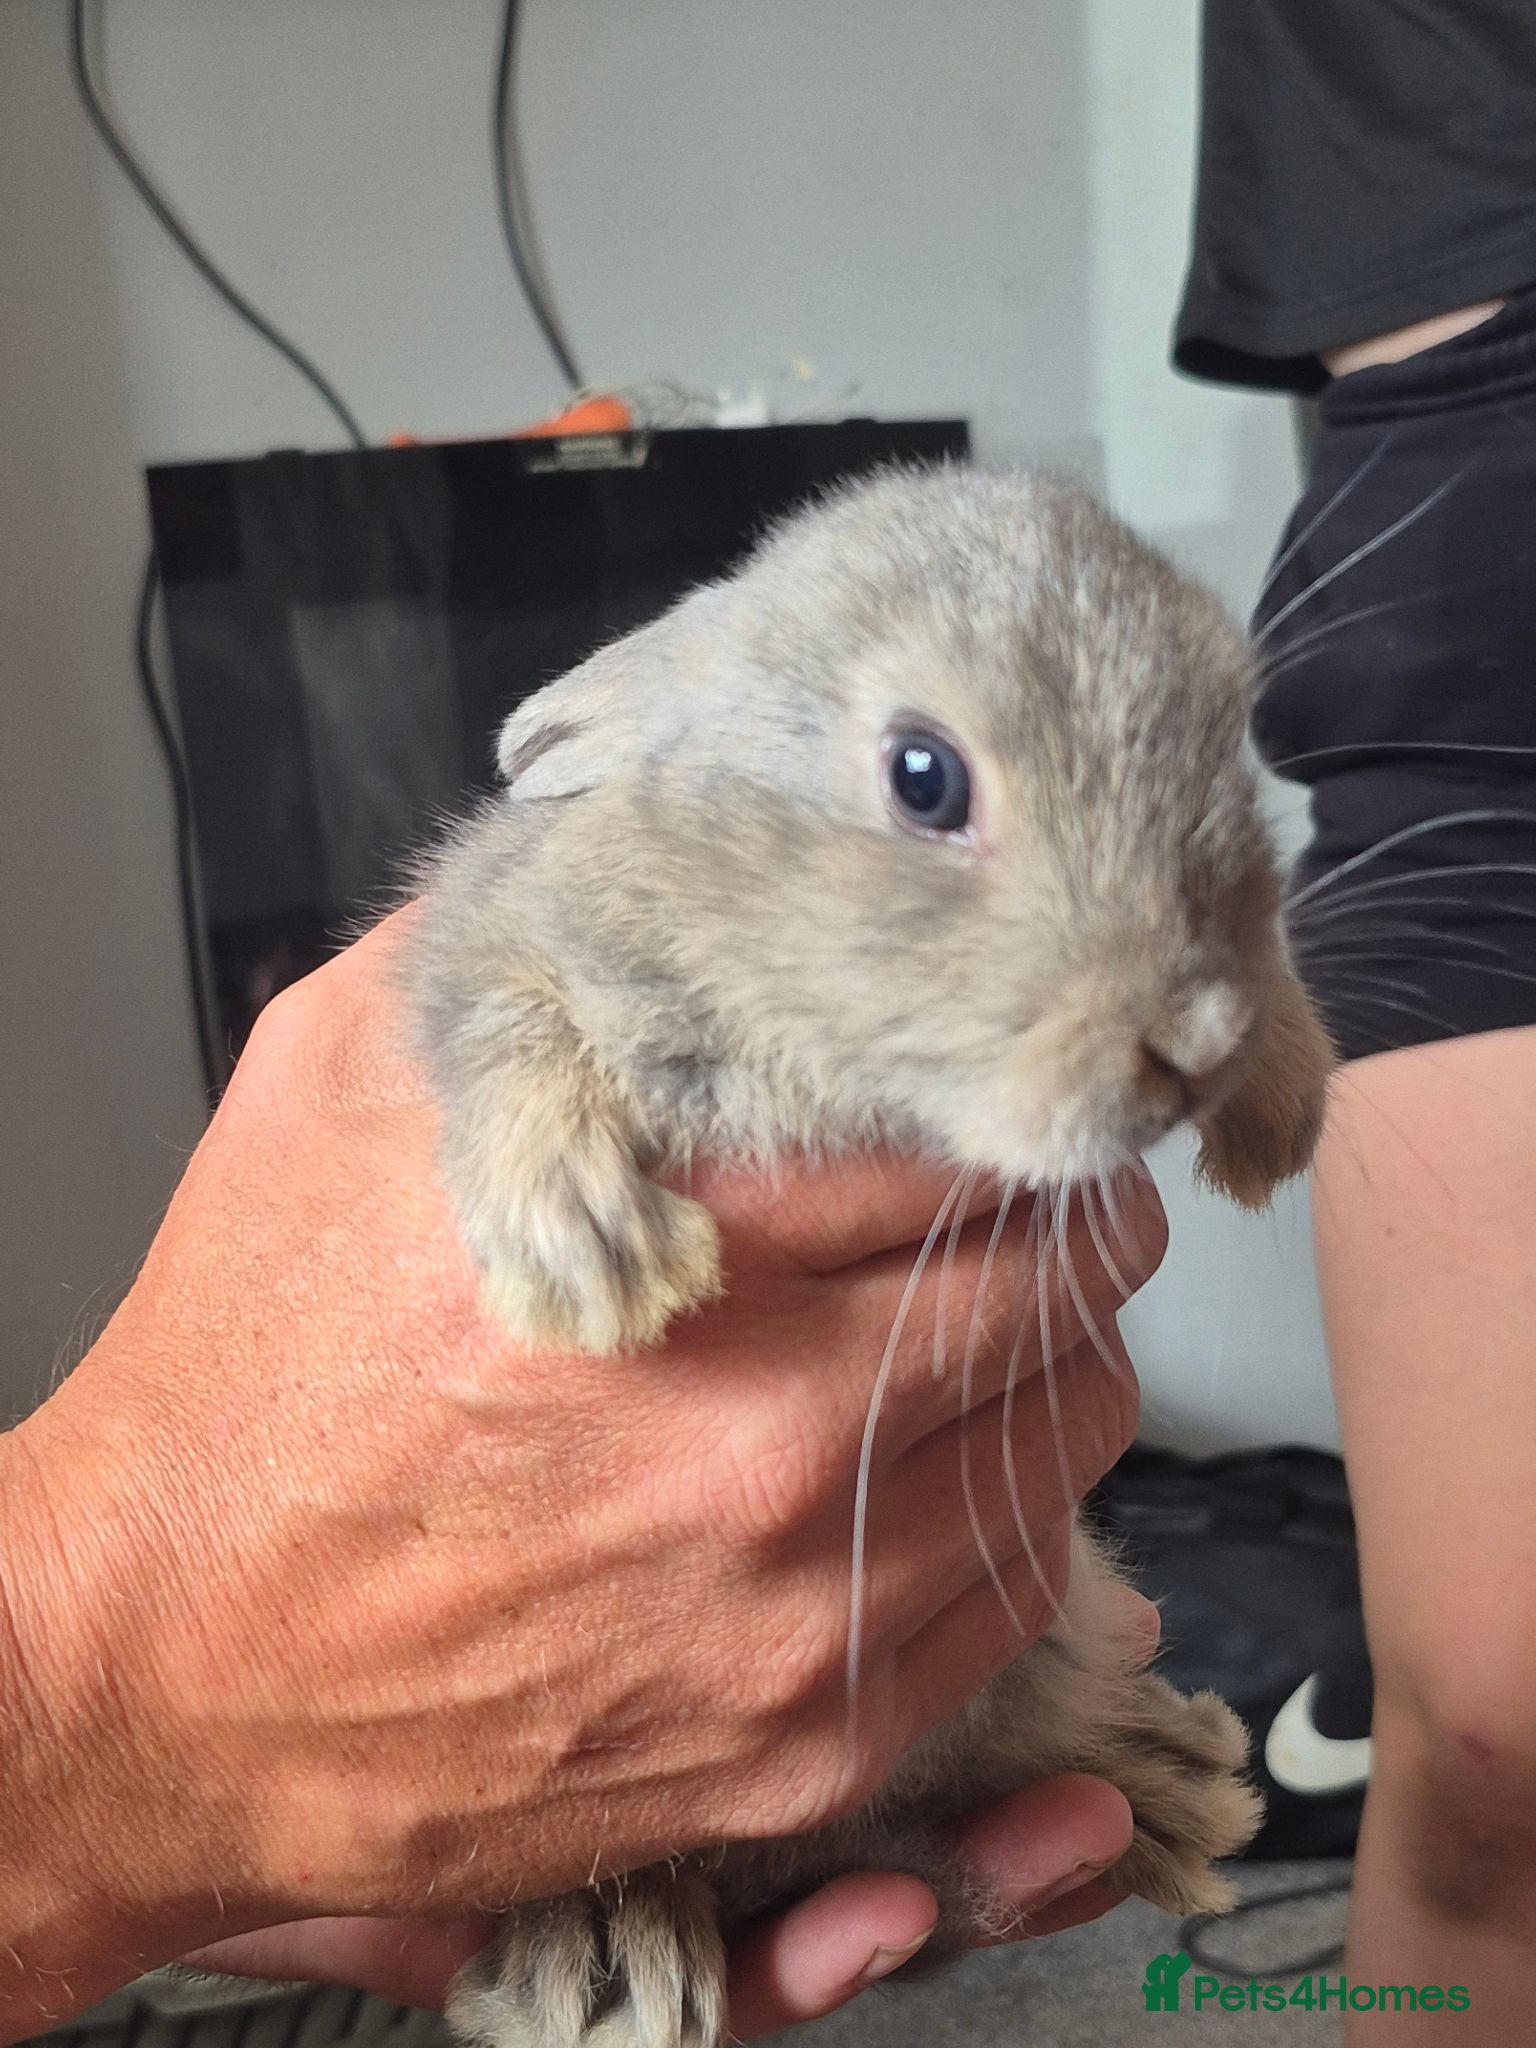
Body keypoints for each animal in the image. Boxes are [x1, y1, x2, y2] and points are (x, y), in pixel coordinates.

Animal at [403, 464, 1334, 2048]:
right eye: (923, 776)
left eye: (1233, 733)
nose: (1190, 1040)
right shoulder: (505, 938)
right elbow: (503, 1020)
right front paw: (591, 1257)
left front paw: (1279, 1101)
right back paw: (601, 1954)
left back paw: (1169, 1780)